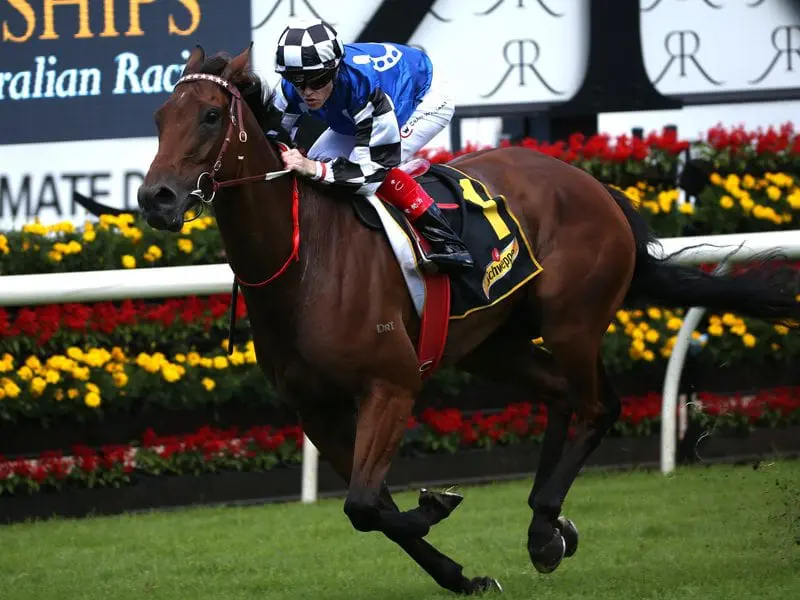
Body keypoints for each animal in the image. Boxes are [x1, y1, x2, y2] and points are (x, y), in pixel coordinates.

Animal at [139, 44, 800, 592]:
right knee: (561, 395)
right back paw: (547, 526)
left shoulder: (391, 385)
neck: (304, 262)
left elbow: (364, 505)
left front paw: (438, 511)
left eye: (210, 116)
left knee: (597, 405)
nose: (156, 198)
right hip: (495, 344)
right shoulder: (316, 410)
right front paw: (459, 571)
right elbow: (372, 506)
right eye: (159, 117)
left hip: (572, 321)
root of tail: (592, 185)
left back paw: (545, 522)